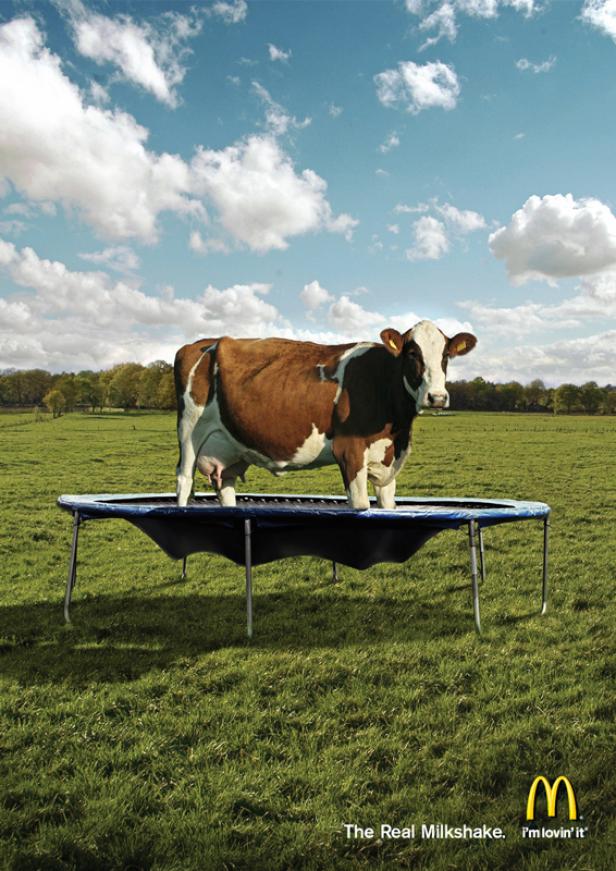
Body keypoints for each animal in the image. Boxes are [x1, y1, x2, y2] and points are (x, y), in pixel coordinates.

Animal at [174, 320, 477, 510]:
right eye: (412, 353)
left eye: (446, 356)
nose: (437, 397)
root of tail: (201, 344)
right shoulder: (349, 451)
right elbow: (360, 505)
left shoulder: (388, 459)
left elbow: (387, 504)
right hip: (189, 431)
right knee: (184, 480)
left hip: (228, 448)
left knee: (225, 486)